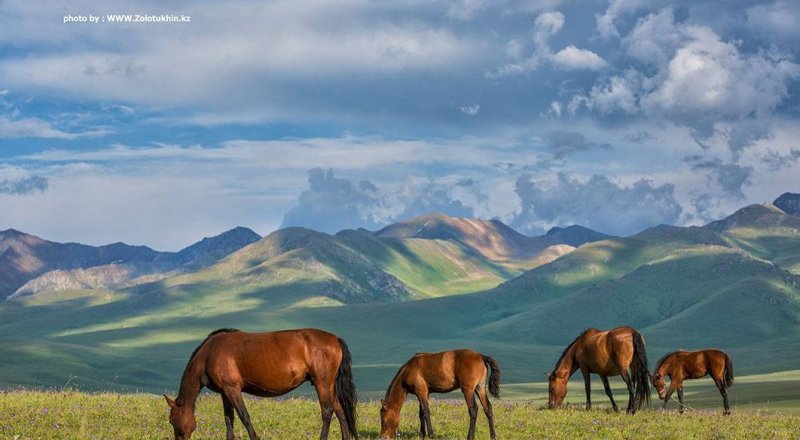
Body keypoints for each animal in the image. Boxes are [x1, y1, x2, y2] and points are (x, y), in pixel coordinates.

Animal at [164, 328, 358, 440]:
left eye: (172, 420)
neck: (209, 354)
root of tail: (335, 338)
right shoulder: (225, 393)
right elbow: (229, 420)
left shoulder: (232, 390)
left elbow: (244, 417)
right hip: (330, 385)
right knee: (340, 412)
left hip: (322, 383)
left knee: (327, 412)